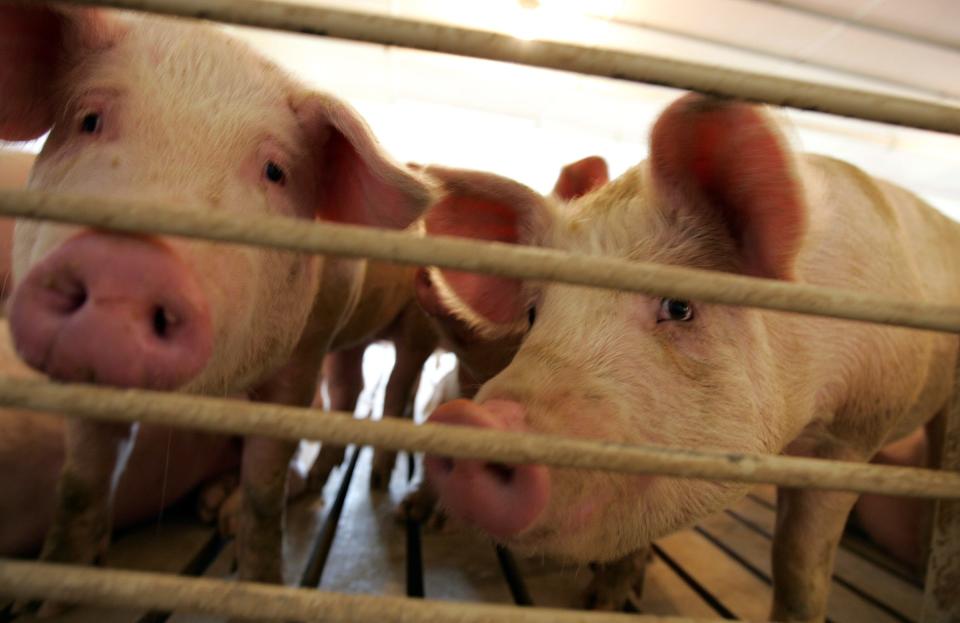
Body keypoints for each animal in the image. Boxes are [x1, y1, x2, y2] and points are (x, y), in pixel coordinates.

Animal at [0, 1, 436, 596]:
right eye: (88, 118)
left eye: (275, 172)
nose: (128, 264)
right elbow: (81, 480)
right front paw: (45, 595)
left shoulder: (305, 352)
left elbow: (264, 488)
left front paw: (263, 581)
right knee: (349, 390)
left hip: (414, 326)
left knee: (393, 391)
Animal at [418, 94, 952, 623]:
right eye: (533, 314)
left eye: (678, 306)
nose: (473, 420)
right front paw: (605, 602)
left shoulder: (858, 428)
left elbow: (798, 564)